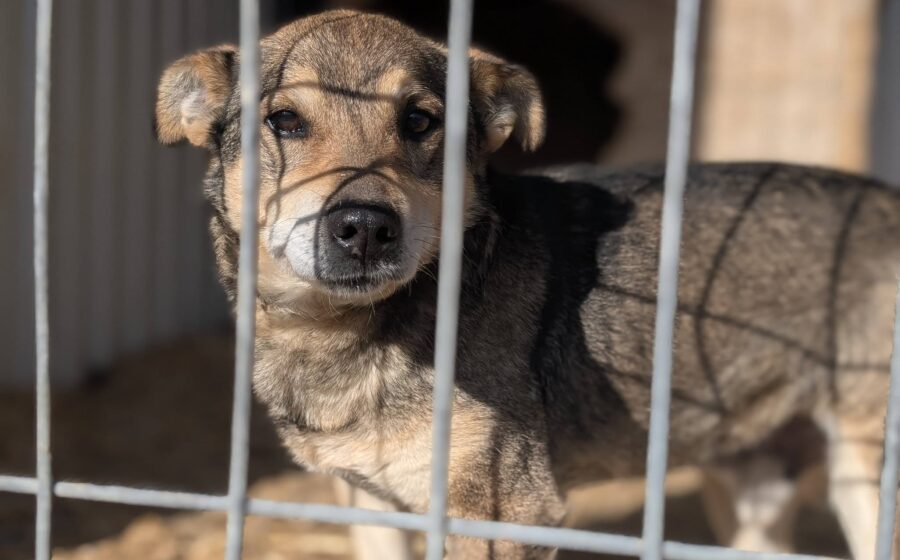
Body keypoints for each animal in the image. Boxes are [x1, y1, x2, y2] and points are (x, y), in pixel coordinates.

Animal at [155, 10, 900, 559]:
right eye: (284, 120)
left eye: (420, 121)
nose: (365, 227)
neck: (345, 332)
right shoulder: (371, 505)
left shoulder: (502, 510)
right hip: (750, 493)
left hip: (866, 484)